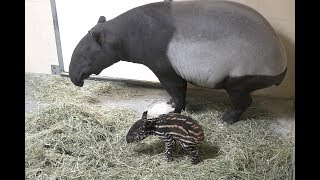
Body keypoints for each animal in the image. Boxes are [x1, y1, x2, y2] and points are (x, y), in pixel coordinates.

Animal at [69, 0, 288, 124]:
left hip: (245, 70)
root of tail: (282, 62)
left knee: (240, 95)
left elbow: (175, 86)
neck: (126, 35)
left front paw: (175, 108)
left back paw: (228, 119)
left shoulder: (163, 62)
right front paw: (171, 104)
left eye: (85, 57)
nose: (76, 79)